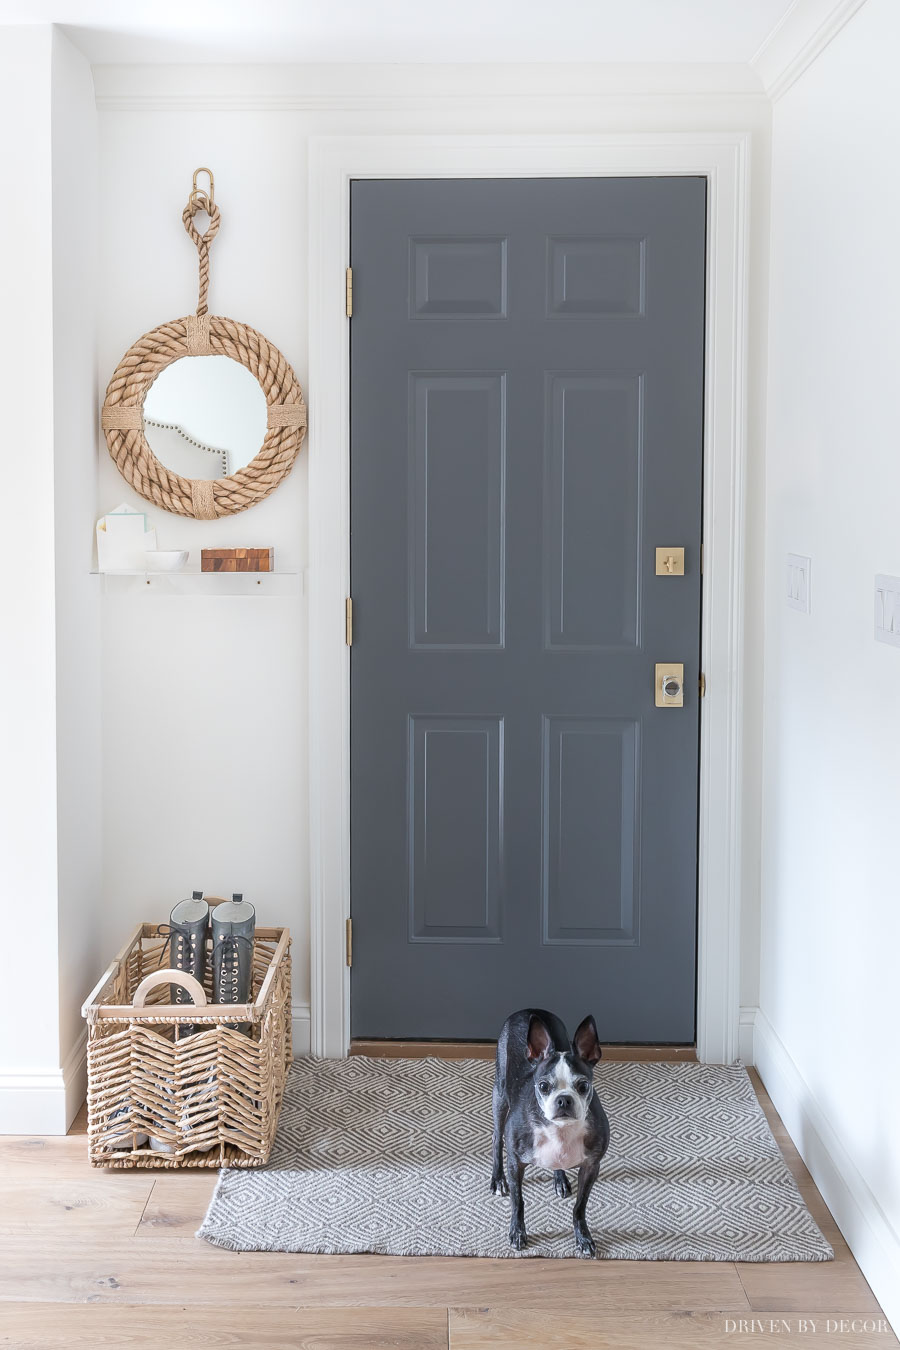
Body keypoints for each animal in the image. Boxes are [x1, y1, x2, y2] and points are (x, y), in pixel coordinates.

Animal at [493, 1015, 612, 1252]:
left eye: (583, 1085)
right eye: (543, 1086)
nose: (564, 1099)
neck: (560, 1130)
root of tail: (527, 1010)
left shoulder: (592, 1165)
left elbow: (580, 1206)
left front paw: (583, 1237)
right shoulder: (515, 1162)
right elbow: (518, 1201)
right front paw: (517, 1232)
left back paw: (560, 1179)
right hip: (499, 1096)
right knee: (496, 1138)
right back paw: (498, 1180)